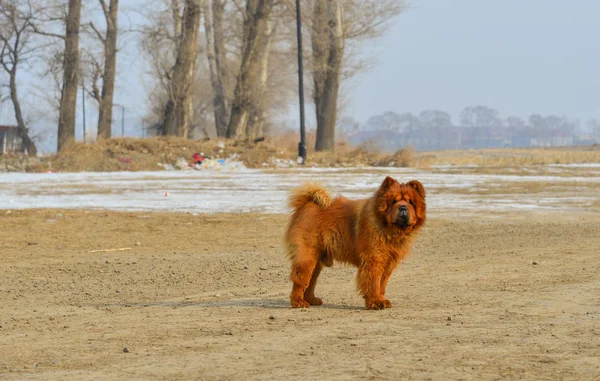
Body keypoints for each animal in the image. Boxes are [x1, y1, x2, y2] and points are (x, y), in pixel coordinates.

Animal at [286, 177, 426, 310]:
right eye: (393, 202)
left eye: (411, 203)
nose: (402, 208)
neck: (389, 231)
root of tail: (306, 203)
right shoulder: (374, 260)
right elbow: (374, 283)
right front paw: (375, 303)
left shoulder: (388, 263)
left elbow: (382, 284)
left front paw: (382, 300)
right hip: (307, 257)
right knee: (300, 280)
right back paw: (298, 302)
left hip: (316, 260)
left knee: (311, 280)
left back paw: (312, 300)